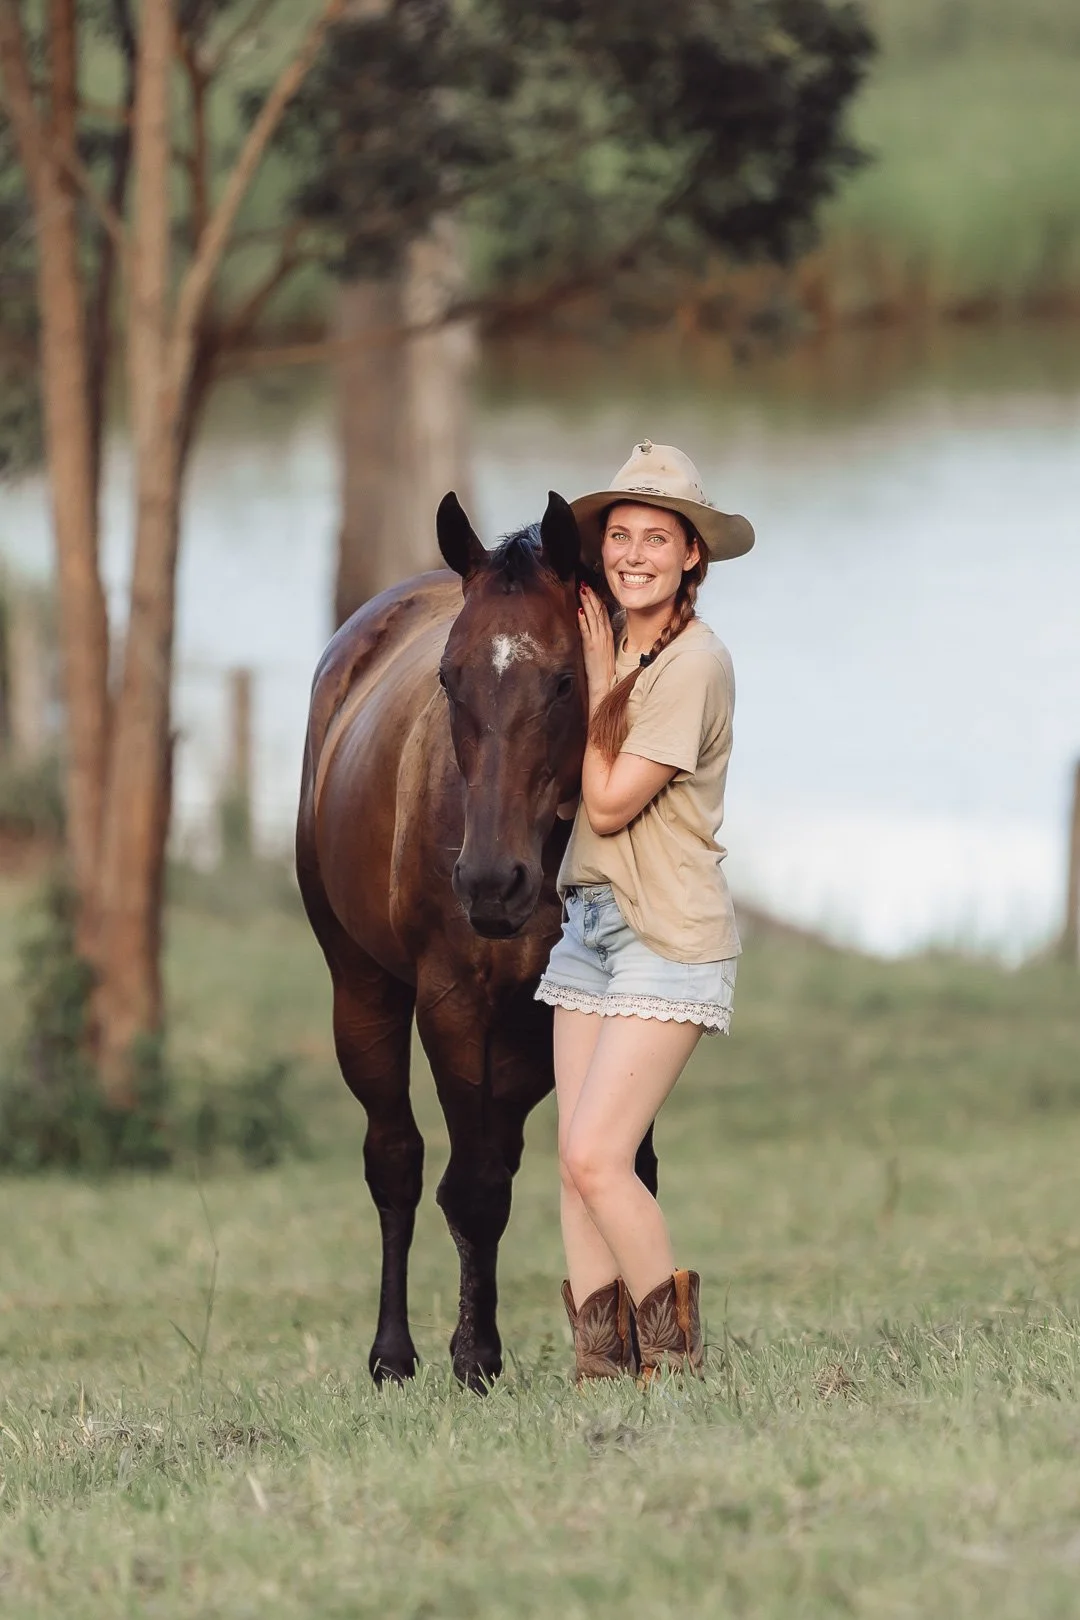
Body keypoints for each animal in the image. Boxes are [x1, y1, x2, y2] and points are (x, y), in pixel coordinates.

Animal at [296, 490, 657, 1390]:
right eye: (449, 678)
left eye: (564, 679)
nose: (491, 884)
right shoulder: (453, 1001)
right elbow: (472, 1187)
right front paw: (475, 1355)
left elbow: (624, 1166)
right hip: (362, 991)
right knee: (396, 1158)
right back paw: (393, 1354)